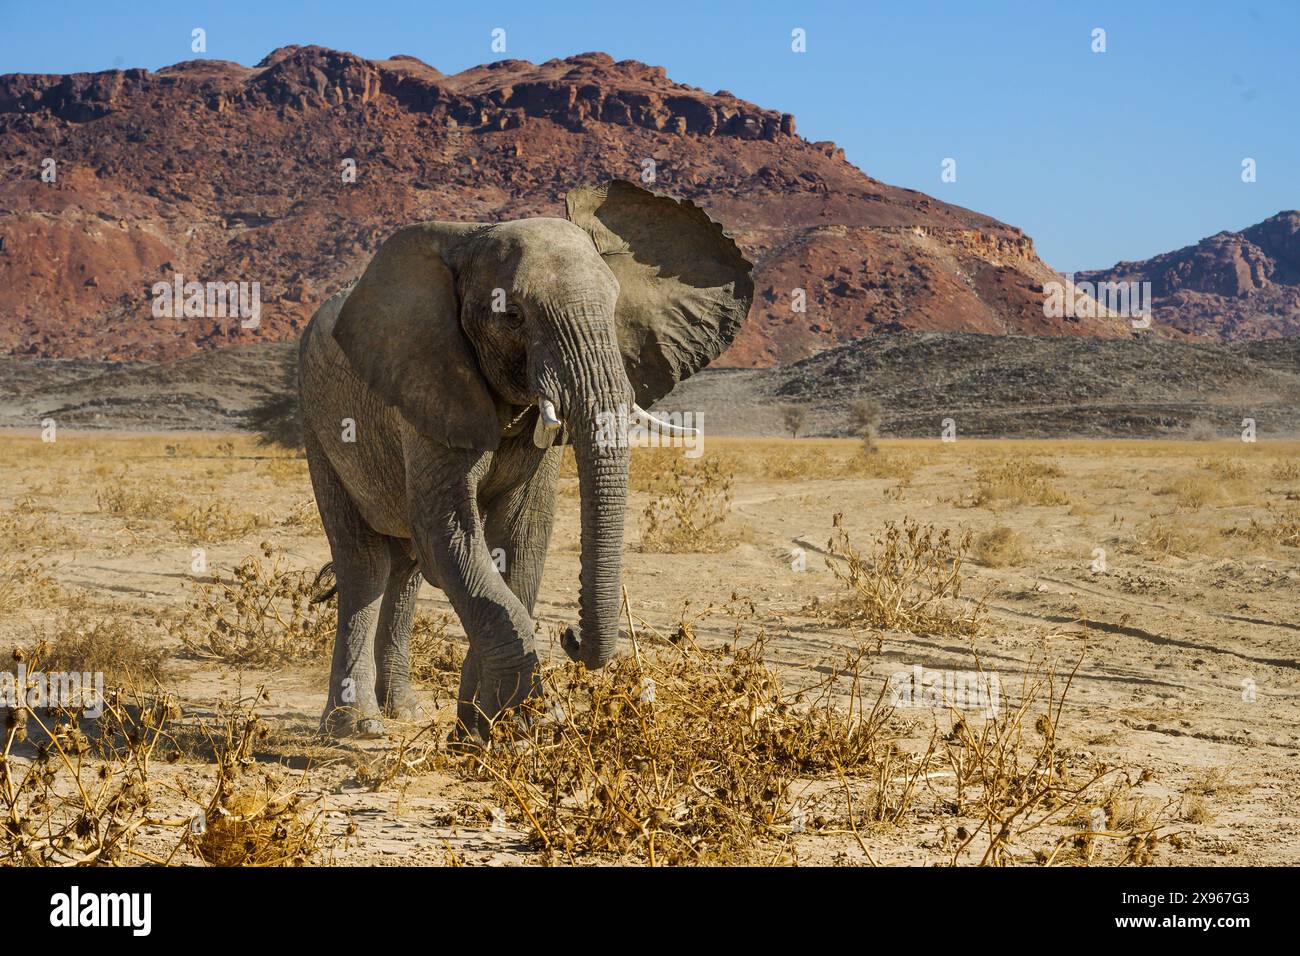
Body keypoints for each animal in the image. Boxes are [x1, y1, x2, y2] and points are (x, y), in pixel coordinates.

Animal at [296, 183, 754, 743]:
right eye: (511, 316)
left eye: (615, 307)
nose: (572, 635)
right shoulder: (429, 382)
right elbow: (450, 536)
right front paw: (518, 723)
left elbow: (520, 536)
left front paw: (484, 728)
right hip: (317, 419)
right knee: (365, 565)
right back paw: (355, 726)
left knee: (405, 569)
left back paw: (403, 711)